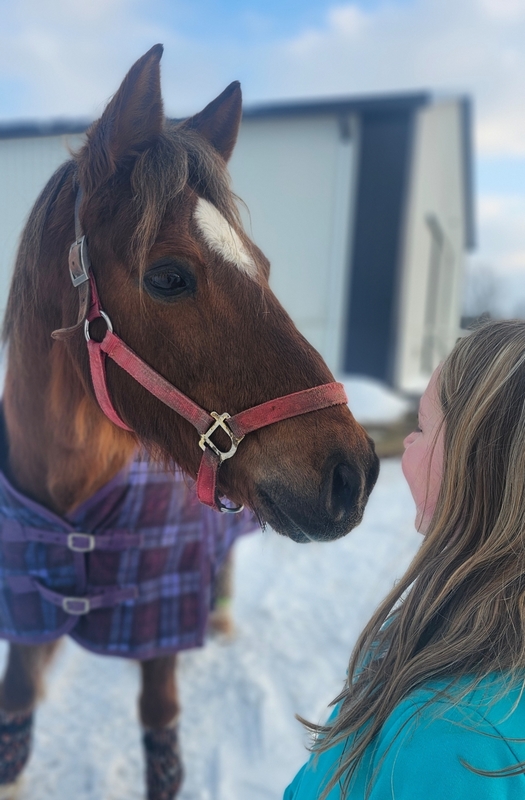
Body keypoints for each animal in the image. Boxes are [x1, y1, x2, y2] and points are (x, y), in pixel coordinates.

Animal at [0, 45, 379, 799]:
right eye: (169, 277)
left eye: (263, 266)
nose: (353, 474)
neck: (72, 510)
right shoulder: (24, 621)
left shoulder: (158, 642)